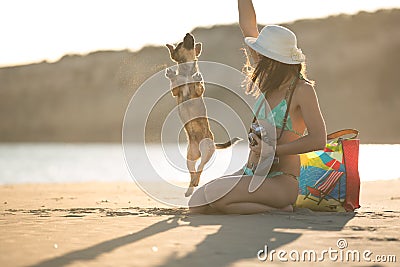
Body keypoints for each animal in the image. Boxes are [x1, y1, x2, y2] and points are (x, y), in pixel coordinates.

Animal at [166, 33, 241, 197]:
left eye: (185, 41)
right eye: (181, 43)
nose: (188, 34)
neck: (186, 72)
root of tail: (212, 142)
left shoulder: (197, 92)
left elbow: (198, 86)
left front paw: (197, 78)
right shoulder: (176, 92)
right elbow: (175, 84)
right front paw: (172, 75)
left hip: (206, 152)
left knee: (200, 168)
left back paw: (195, 182)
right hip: (190, 158)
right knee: (193, 171)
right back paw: (190, 188)